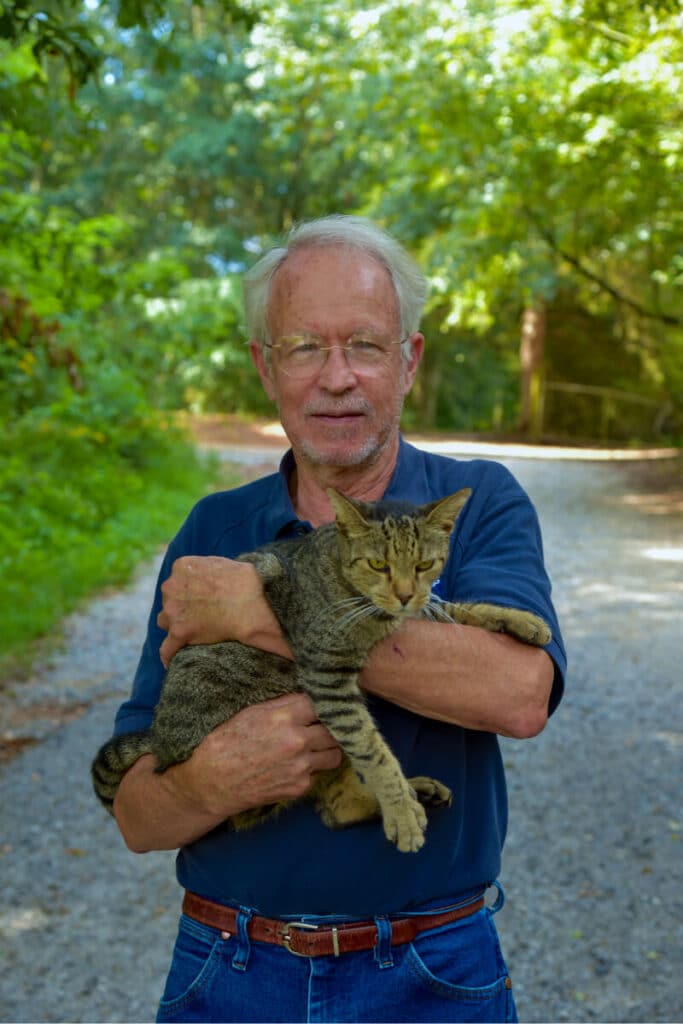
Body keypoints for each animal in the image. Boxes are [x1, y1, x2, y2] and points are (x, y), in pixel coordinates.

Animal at [92, 483, 548, 851]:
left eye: (424, 565)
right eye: (378, 565)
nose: (403, 594)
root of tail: (160, 741)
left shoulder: (417, 611)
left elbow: (457, 607)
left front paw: (522, 620)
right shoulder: (328, 676)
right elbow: (373, 751)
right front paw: (400, 812)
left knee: (338, 806)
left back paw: (418, 791)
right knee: (322, 802)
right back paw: (407, 800)